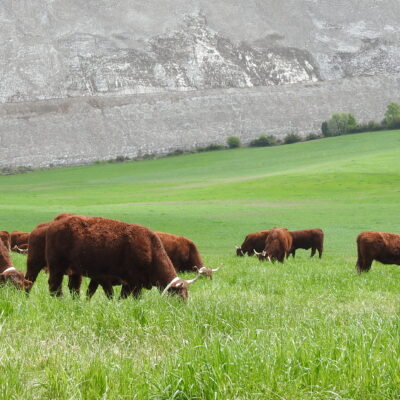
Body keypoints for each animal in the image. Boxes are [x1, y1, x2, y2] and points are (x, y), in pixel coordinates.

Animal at [45, 217, 200, 298]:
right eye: (180, 296)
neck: (150, 249)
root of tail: (56, 223)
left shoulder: (125, 283)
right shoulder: (132, 282)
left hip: (74, 272)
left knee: (72, 287)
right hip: (57, 267)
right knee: (54, 285)